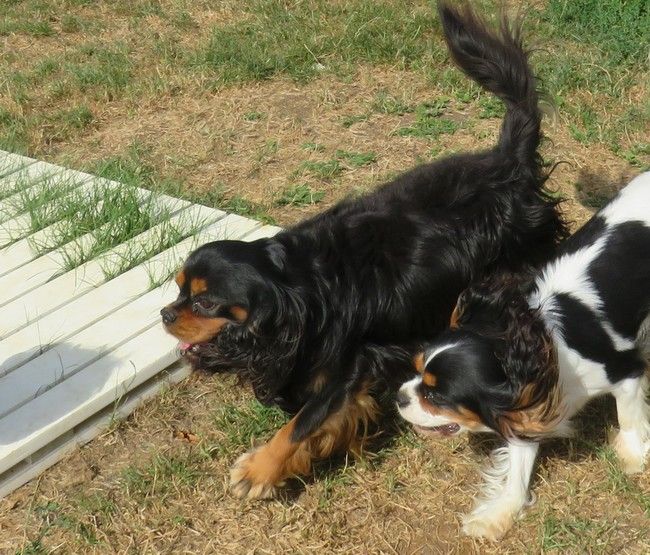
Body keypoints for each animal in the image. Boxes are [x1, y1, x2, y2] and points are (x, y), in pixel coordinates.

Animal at [159, 2, 564, 502]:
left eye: (203, 302)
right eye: (177, 291)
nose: (165, 314)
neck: (296, 289)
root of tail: (508, 163)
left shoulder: (352, 365)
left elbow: (302, 423)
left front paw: (259, 471)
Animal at [394, 173, 648, 540]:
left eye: (436, 395)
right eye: (415, 371)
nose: (399, 397)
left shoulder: (625, 370)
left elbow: (627, 416)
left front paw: (632, 455)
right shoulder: (524, 408)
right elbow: (517, 469)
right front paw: (497, 514)